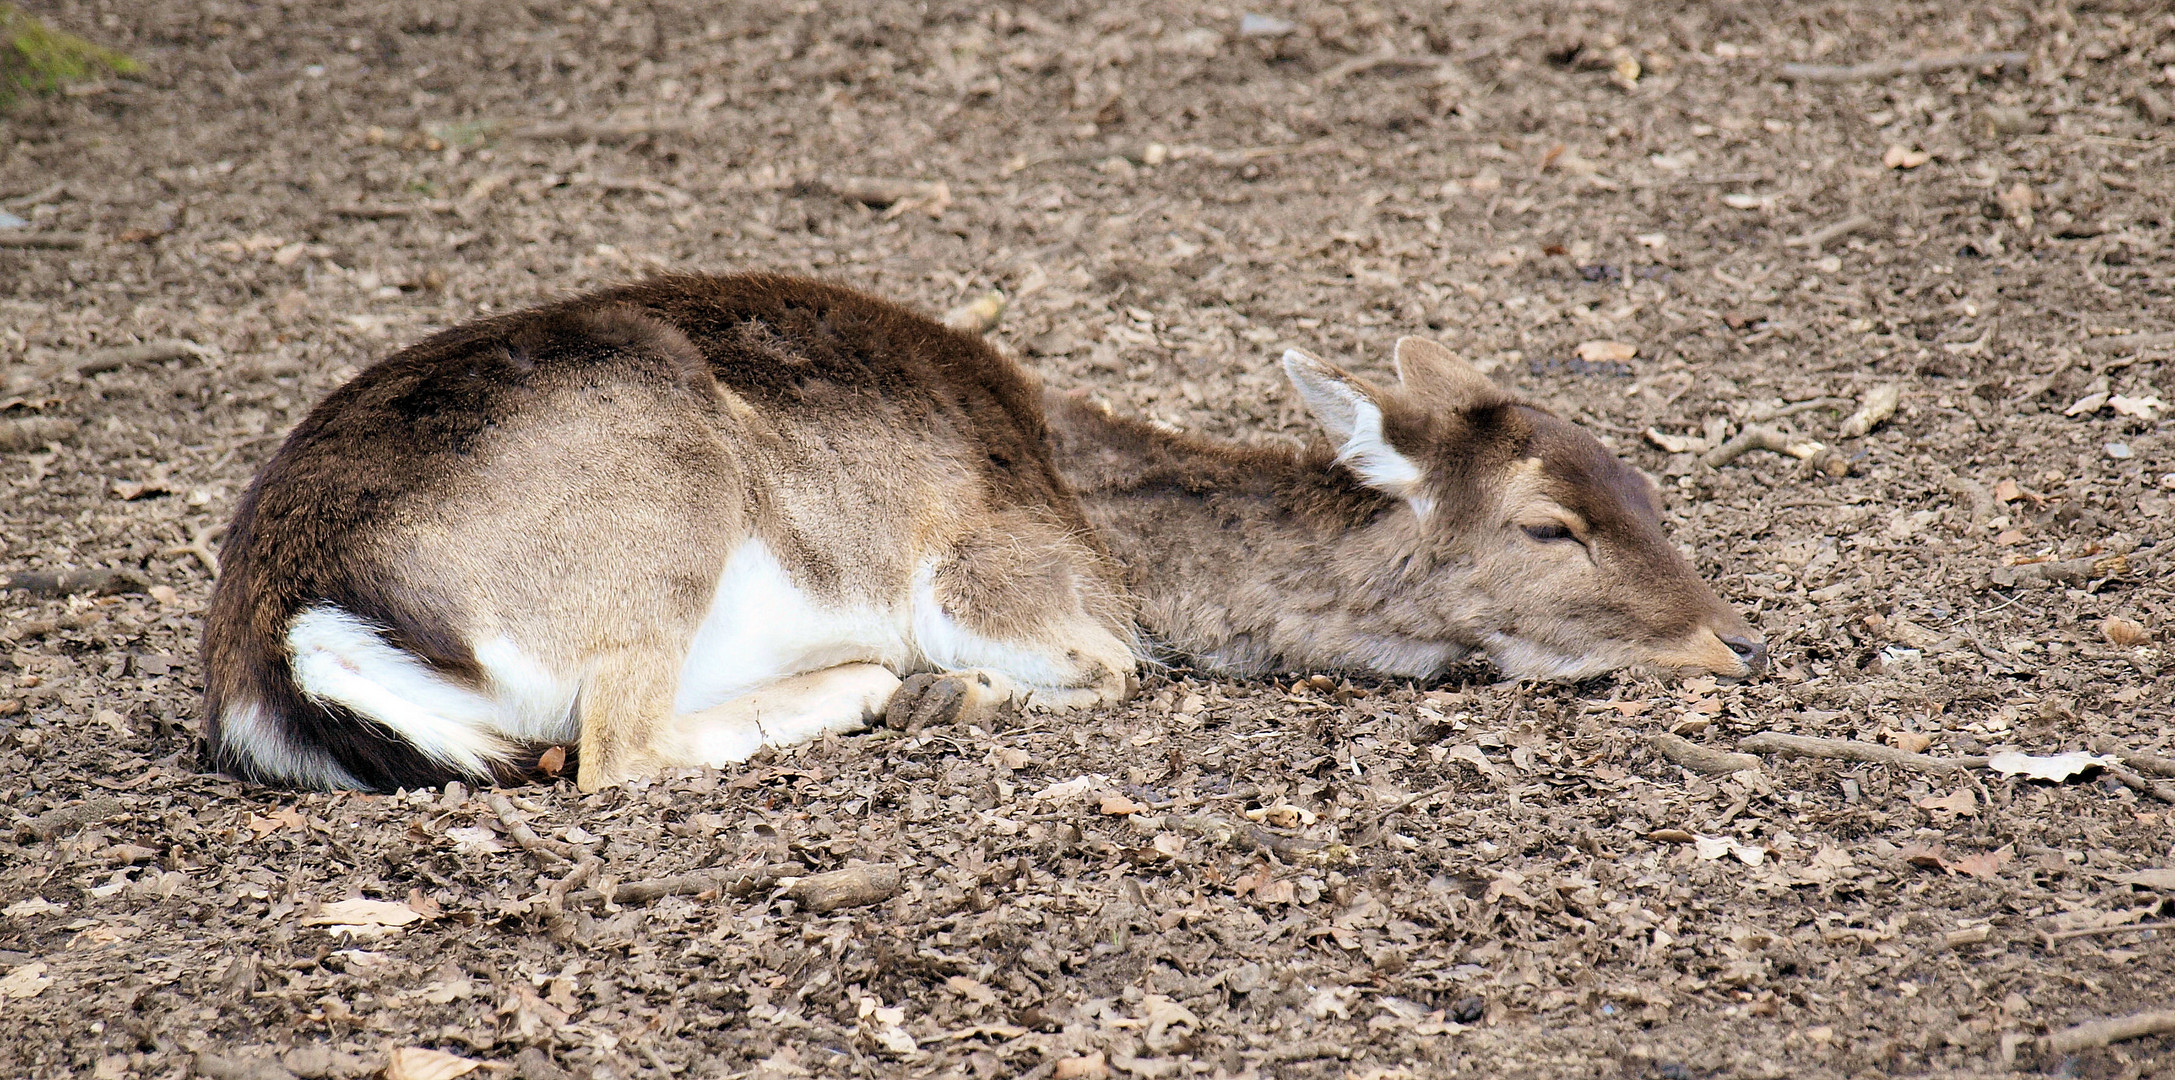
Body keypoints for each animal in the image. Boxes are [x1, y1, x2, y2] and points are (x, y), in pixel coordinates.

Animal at [200, 269, 1766, 790]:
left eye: (1644, 485)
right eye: (1551, 528)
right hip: (655, 513)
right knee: (611, 752)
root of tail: (278, 636)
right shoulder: (986, 567)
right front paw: (952, 687)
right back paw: (875, 686)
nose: (1728, 642)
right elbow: (1105, 665)